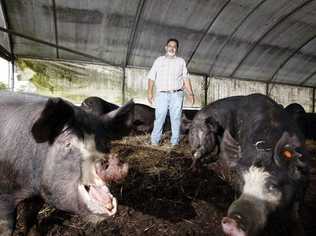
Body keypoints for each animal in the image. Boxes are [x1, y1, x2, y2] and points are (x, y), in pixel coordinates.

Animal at [0, 91, 132, 235]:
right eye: (68, 144)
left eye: (105, 143)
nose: (110, 159)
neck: (30, 186)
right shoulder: (5, 196)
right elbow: (7, 226)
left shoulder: (38, 195)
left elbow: (30, 217)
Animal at [188, 94, 308, 236]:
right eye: (242, 182)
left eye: (272, 185)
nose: (232, 221)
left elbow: (296, 208)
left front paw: (298, 228)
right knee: (197, 153)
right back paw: (194, 169)